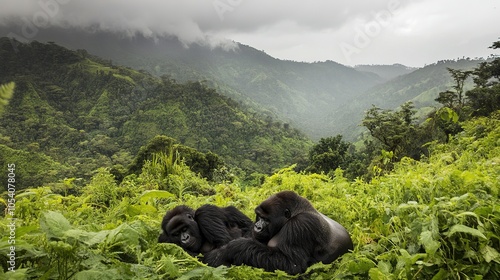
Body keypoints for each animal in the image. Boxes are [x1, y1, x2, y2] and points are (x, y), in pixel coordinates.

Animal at [205, 190, 354, 274]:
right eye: (259, 216)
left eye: (266, 220)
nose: (257, 227)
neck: (297, 210)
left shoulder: (301, 224)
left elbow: (292, 265)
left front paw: (232, 248)